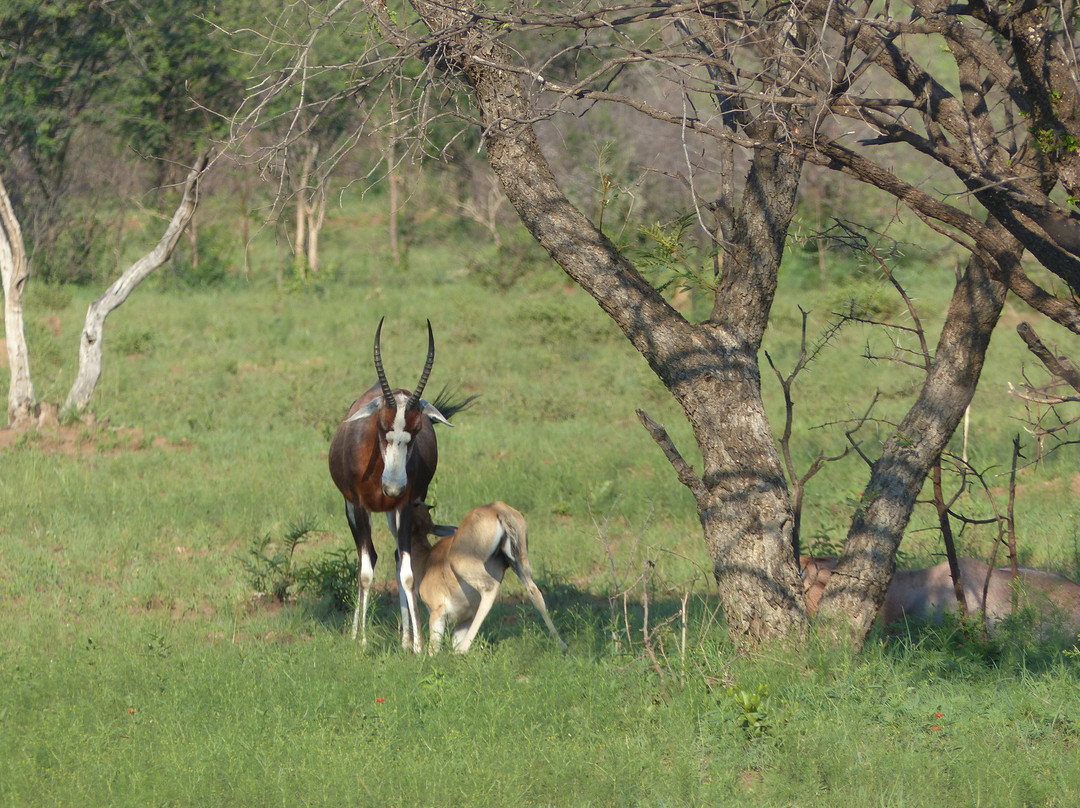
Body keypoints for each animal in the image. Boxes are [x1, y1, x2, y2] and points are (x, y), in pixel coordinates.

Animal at [328, 315, 455, 648]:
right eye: (382, 426)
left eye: (417, 429)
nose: (393, 487)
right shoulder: (359, 506)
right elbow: (365, 571)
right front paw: (361, 643)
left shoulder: (406, 506)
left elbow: (408, 572)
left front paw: (418, 645)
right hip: (354, 509)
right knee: (369, 556)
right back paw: (356, 633)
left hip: (393, 512)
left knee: (398, 558)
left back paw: (405, 639)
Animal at [408, 499, 570, 656]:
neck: (426, 560)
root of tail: (498, 508)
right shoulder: (461, 623)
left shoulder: (438, 615)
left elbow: (432, 652)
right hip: (518, 562)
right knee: (534, 592)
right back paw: (561, 644)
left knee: (490, 591)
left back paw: (462, 650)